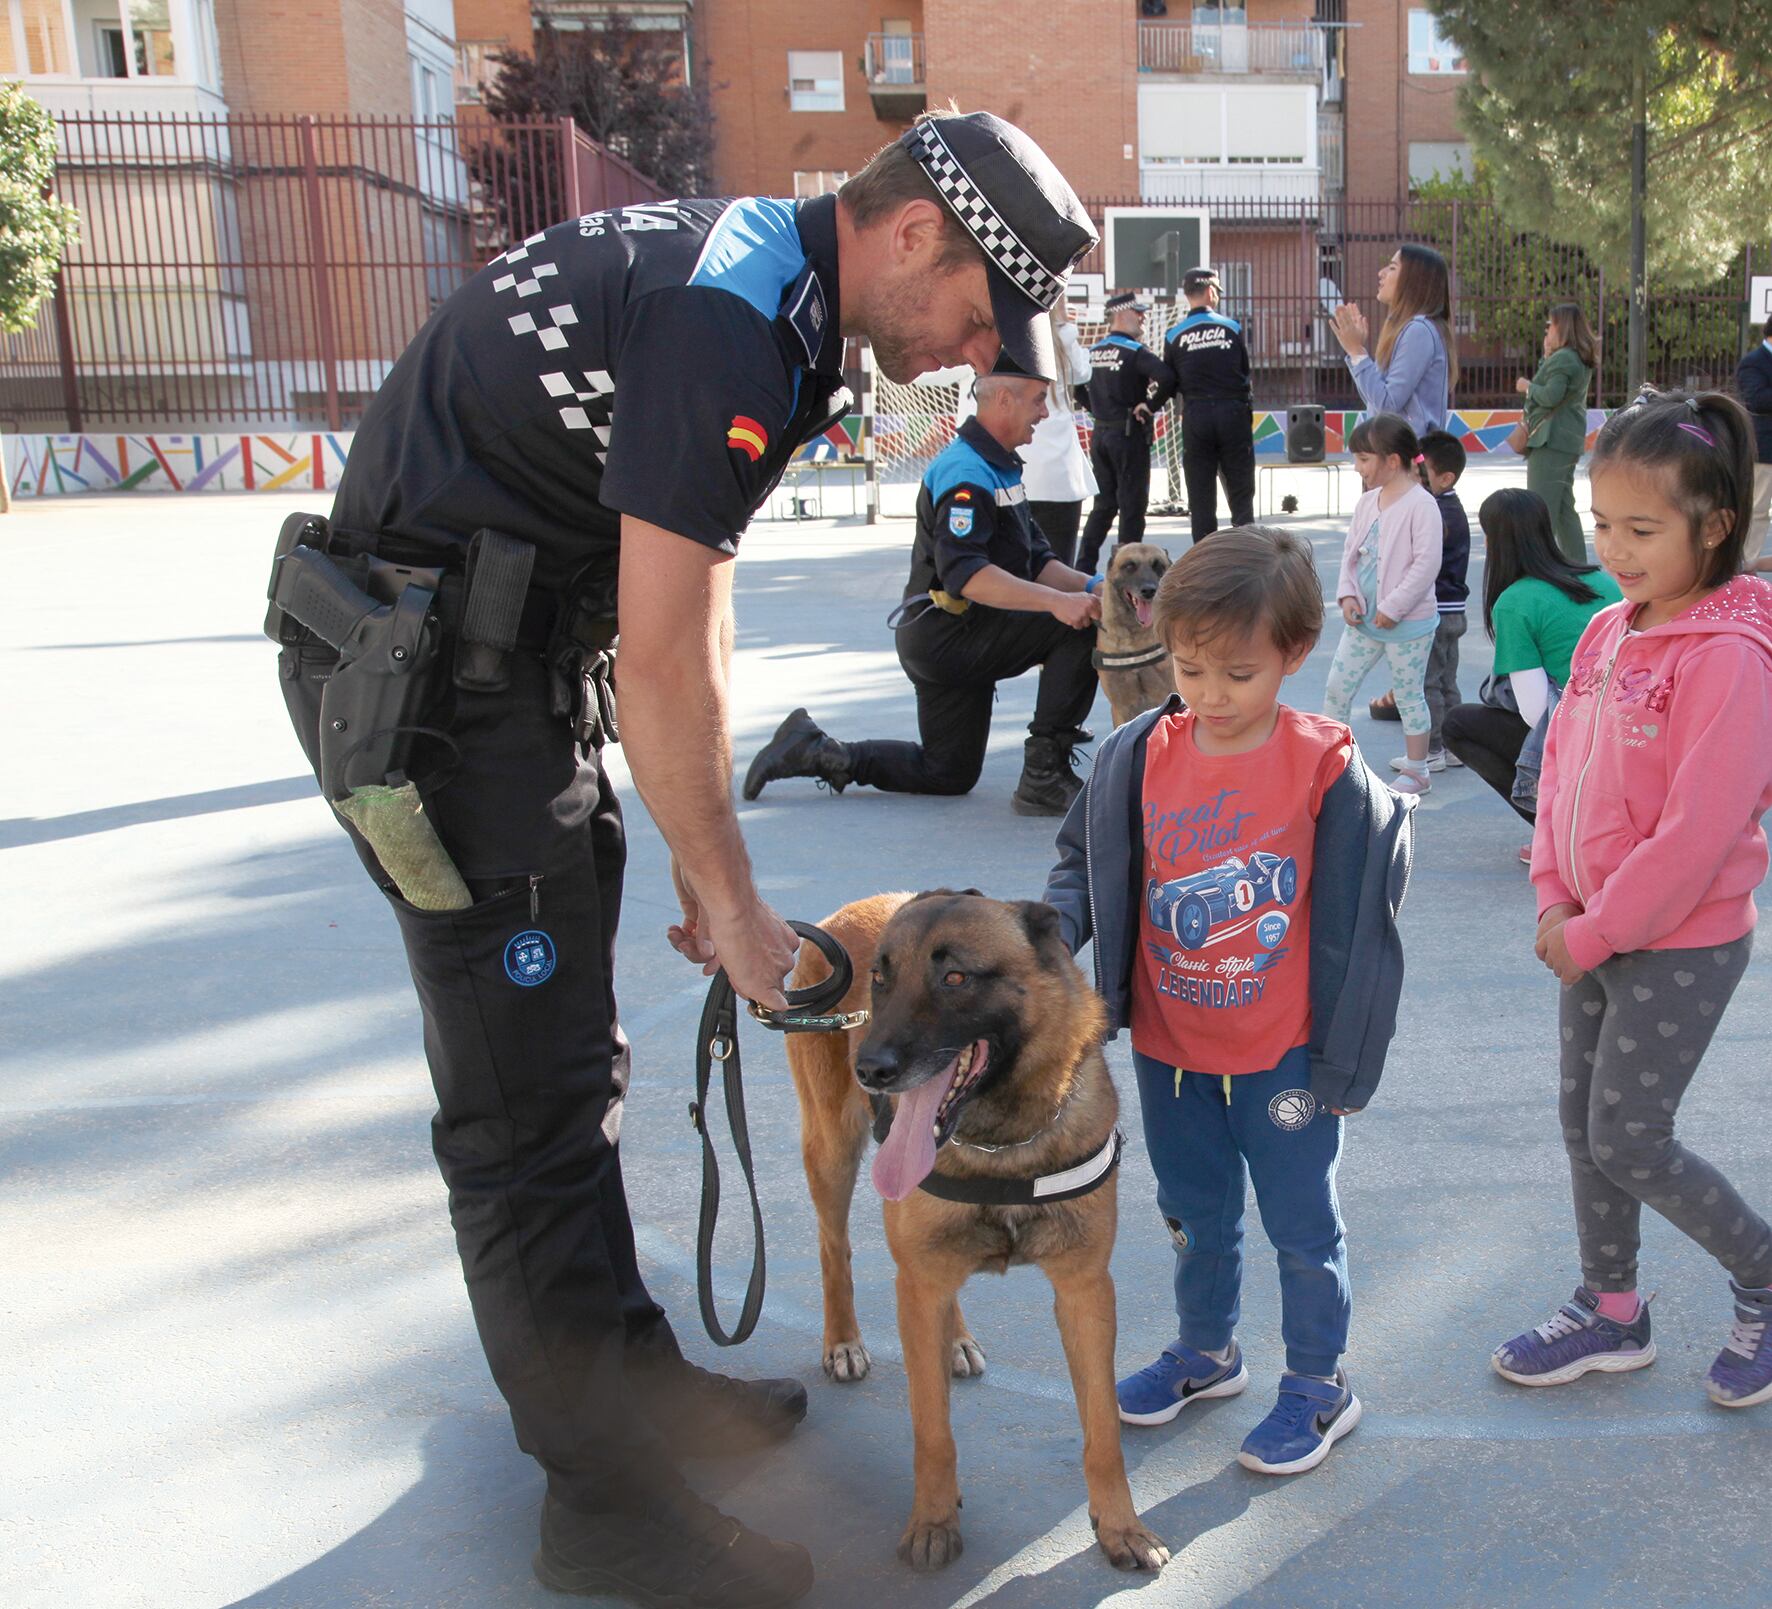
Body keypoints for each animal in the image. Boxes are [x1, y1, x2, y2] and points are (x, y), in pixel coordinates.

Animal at [783, 886, 1169, 1580]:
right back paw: (843, 1340)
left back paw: (954, 1339)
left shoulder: (1085, 1291)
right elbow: (932, 1431)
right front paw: (934, 1523)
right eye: (880, 979)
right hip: (831, 1154)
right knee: (835, 1248)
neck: (1003, 1145)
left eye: (956, 978)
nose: (870, 1068)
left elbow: (1103, 1432)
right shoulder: (918, 1281)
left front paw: (1121, 1527)